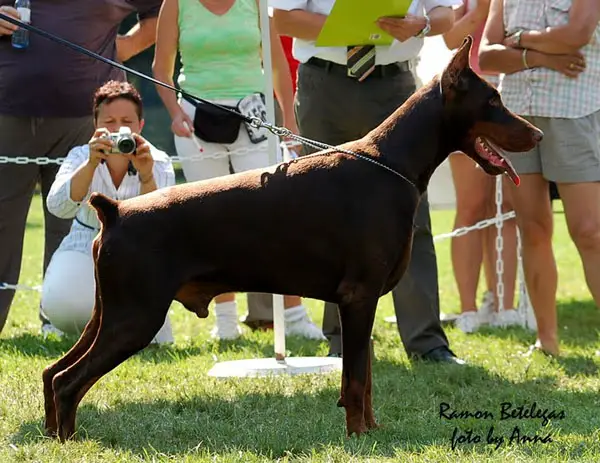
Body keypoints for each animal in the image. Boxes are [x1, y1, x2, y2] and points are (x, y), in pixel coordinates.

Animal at [43, 37, 544, 442]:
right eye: (493, 99)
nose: (538, 133)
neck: (392, 163)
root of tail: (115, 210)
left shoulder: (363, 302)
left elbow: (364, 376)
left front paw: (372, 430)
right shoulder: (359, 296)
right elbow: (356, 380)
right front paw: (359, 437)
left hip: (109, 312)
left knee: (53, 372)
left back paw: (51, 435)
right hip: (136, 316)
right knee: (69, 381)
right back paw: (68, 441)